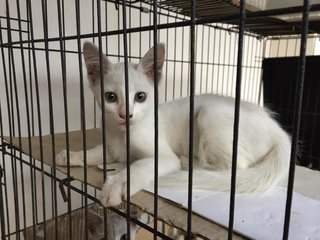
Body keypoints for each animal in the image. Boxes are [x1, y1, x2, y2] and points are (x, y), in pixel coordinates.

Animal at [56, 41, 292, 206]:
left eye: (140, 96)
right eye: (110, 97)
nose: (126, 115)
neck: (124, 134)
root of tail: (280, 132)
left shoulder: (162, 156)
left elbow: (140, 165)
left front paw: (118, 183)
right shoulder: (114, 147)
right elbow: (98, 151)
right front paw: (72, 156)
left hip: (210, 114)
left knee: (234, 166)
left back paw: (189, 162)